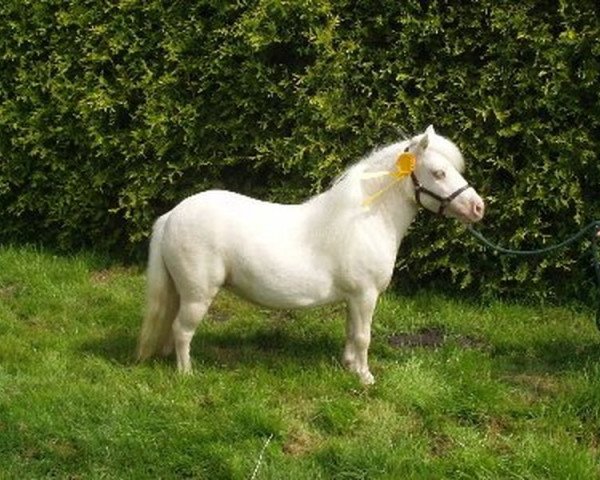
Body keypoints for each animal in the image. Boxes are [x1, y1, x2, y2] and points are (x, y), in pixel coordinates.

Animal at [138, 125, 486, 384]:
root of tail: (172, 215)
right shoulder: (365, 295)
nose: (478, 207)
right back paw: (186, 374)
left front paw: (349, 366)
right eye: (439, 173)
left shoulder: (354, 298)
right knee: (183, 330)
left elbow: (351, 333)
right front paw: (365, 377)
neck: (363, 220)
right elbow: (363, 337)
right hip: (198, 294)